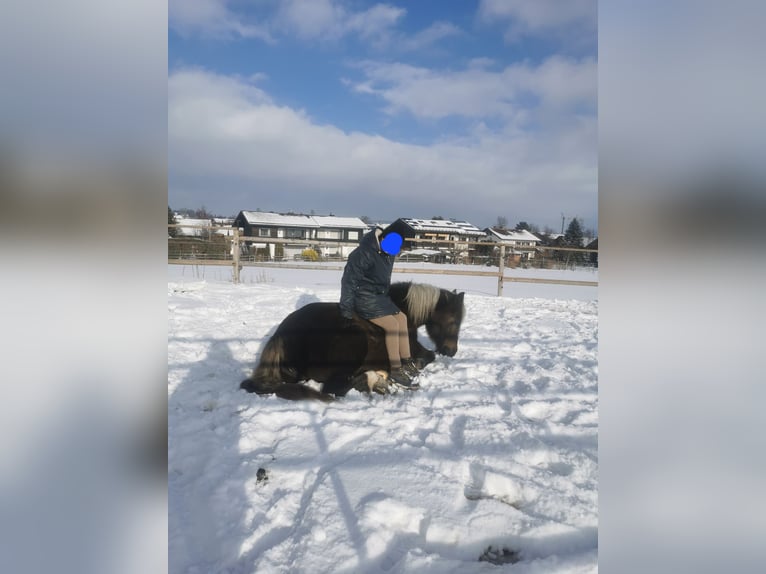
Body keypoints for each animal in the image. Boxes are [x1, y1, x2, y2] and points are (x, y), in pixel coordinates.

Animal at [240, 282, 466, 402]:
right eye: (453, 321)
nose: (451, 350)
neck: (403, 314)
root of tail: (281, 335)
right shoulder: (413, 348)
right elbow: (429, 356)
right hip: (356, 344)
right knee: (334, 389)